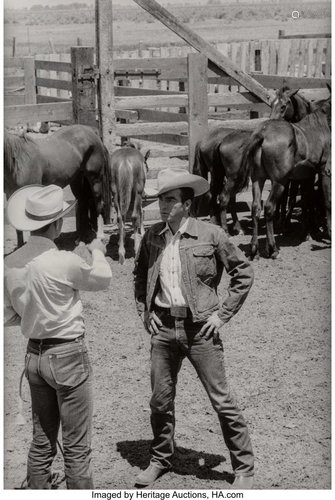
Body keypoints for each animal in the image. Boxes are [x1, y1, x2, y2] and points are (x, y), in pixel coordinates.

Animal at [240, 96, 332, 262]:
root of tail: (263, 133)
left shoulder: (307, 175)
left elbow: (307, 200)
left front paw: (308, 230)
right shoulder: (323, 170)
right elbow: (326, 200)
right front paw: (326, 231)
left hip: (258, 179)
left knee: (256, 208)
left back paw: (255, 249)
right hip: (279, 182)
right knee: (269, 207)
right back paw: (273, 248)